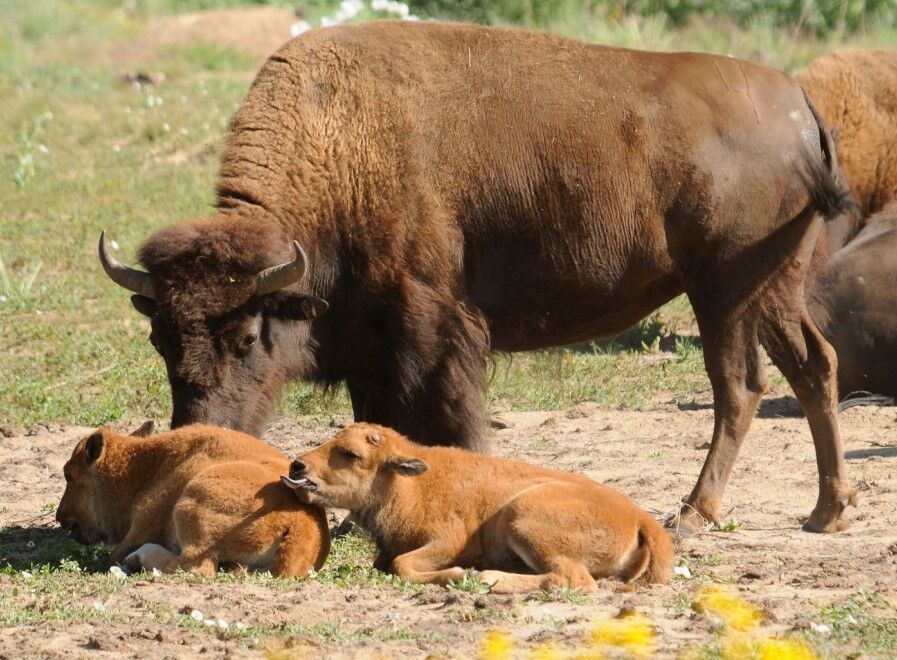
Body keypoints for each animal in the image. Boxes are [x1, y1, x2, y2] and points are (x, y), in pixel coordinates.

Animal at [56, 422, 330, 576]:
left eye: (69, 474)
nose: (61, 518)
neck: (143, 466)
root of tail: (304, 524)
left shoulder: (145, 523)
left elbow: (114, 554)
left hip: (189, 505)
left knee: (196, 566)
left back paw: (138, 560)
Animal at [97, 20, 857, 534]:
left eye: (247, 335)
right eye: (162, 339)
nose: (200, 431)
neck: (342, 143)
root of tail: (797, 105)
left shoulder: (431, 328)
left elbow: (445, 421)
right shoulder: (372, 347)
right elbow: (374, 424)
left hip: (723, 291)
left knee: (740, 386)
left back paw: (696, 513)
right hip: (774, 287)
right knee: (813, 366)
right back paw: (827, 510)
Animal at [282, 423, 674, 592]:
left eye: (351, 453)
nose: (297, 467)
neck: (413, 484)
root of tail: (640, 517)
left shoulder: (449, 541)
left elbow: (401, 564)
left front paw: (458, 574)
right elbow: (388, 562)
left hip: (522, 517)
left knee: (573, 580)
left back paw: (489, 578)